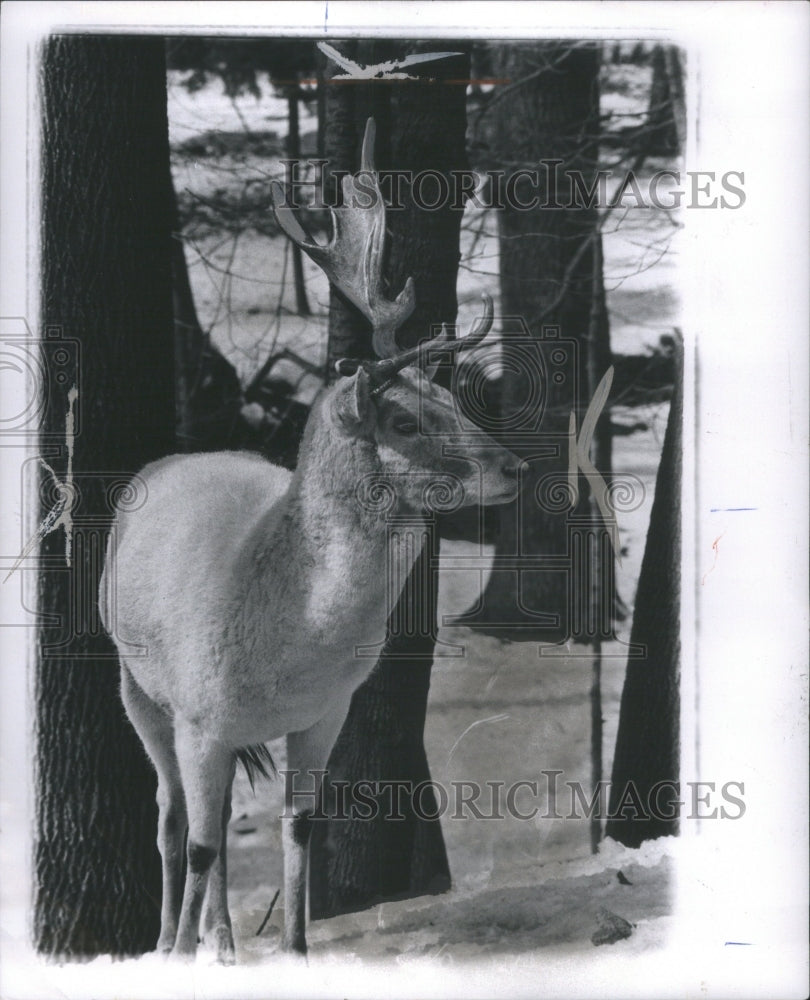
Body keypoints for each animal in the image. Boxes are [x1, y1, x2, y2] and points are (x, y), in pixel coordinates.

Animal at [99, 117, 516, 960]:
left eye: (453, 401)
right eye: (403, 420)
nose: (515, 466)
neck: (289, 650)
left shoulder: (326, 712)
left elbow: (298, 828)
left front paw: (292, 948)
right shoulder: (198, 713)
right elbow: (197, 842)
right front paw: (181, 953)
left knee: (220, 820)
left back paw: (226, 941)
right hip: (136, 685)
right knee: (172, 821)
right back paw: (171, 939)